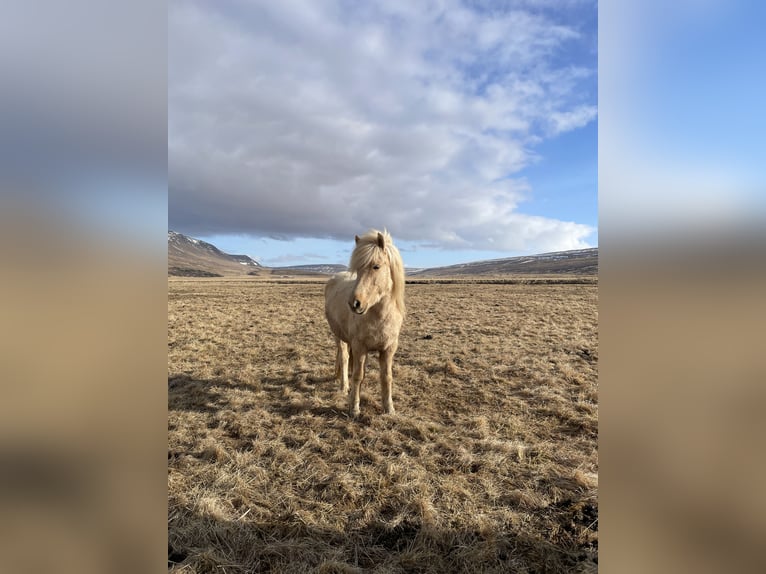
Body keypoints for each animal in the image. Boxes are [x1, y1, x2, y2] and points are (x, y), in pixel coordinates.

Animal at [324, 229, 406, 417]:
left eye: (376, 266)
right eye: (358, 269)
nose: (354, 303)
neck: (379, 316)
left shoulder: (388, 349)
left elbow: (386, 377)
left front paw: (389, 409)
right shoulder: (360, 347)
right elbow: (357, 375)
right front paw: (354, 408)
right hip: (339, 336)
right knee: (344, 357)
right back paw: (343, 386)